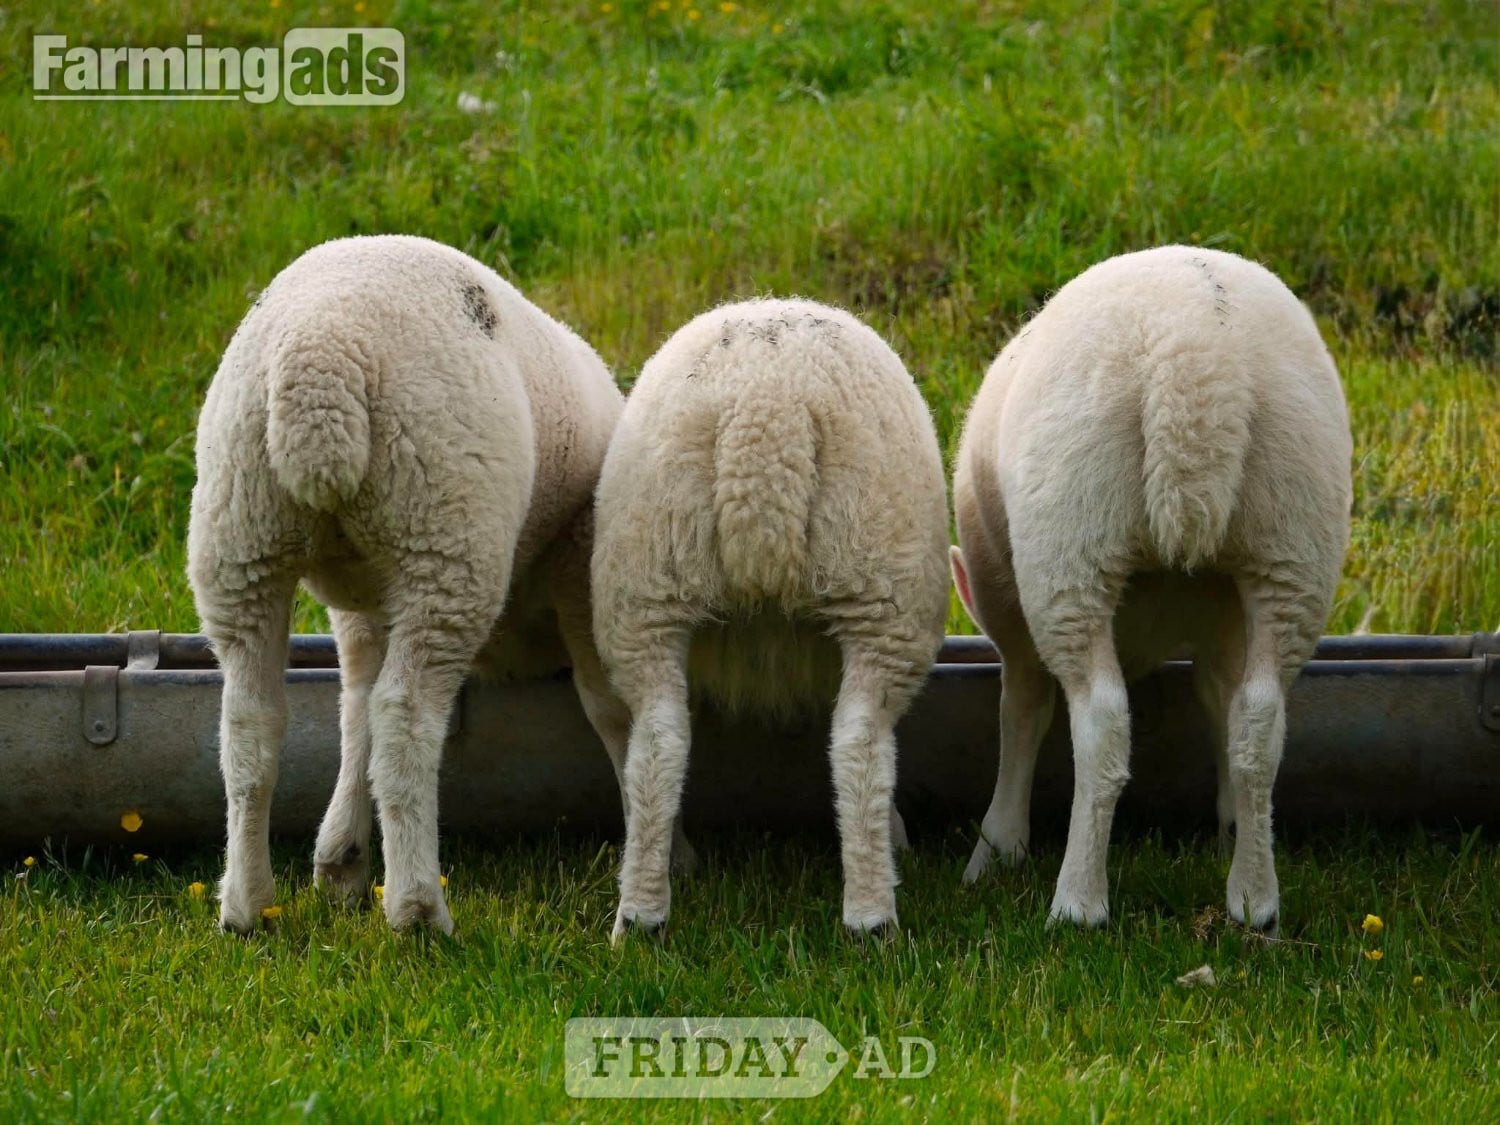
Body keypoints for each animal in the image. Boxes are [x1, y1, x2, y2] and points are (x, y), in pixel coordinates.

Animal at [188, 233, 642, 934]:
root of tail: (320, 361)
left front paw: (340, 860)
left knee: (250, 723)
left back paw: (246, 905)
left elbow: (353, 704)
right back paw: (418, 911)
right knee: (405, 719)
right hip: (444, 534)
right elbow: (607, 705)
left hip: (240, 533)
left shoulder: (363, 603)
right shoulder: (578, 558)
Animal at [593, 298, 950, 940]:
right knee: (860, 743)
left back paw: (640, 916)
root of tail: (763, 410)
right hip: (880, 587)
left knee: (657, 743)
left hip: (647, 587)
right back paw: (871, 919)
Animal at [950, 246, 1352, 930]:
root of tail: (1197, 356)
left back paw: (1078, 902)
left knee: (1102, 721)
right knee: (1260, 720)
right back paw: (1254, 897)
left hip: (1071, 544)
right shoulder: (1223, 623)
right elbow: (1220, 698)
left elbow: (1022, 710)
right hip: (1293, 543)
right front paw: (1230, 826)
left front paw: (997, 849)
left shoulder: (1011, 615)